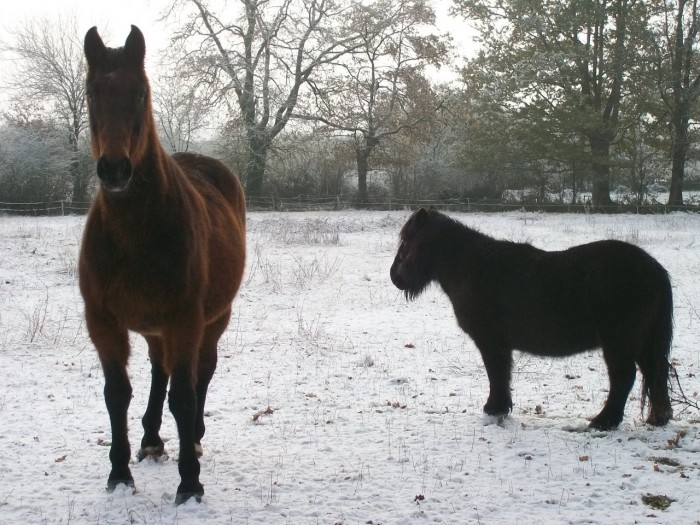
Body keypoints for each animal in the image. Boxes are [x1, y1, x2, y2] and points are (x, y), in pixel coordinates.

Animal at [80, 25, 246, 504]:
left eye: (139, 92)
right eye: (92, 92)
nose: (115, 169)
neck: (135, 234)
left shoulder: (184, 319)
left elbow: (185, 397)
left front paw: (190, 484)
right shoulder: (103, 322)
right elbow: (117, 393)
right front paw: (119, 474)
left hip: (213, 318)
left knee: (201, 372)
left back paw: (194, 438)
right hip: (155, 328)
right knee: (160, 370)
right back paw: (151, 440)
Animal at [392, 207, 676, 428]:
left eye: (407, 241)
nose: (395, 277)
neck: (472, 267)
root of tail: (654, 268)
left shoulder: (490, 342)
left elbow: (495, 373)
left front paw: (494, 408)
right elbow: (503, 374)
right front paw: (500, 407)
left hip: (620, 344)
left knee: (624, 377)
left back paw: (604, 421)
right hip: (642, 344)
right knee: (656, 373)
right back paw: (658, 418)